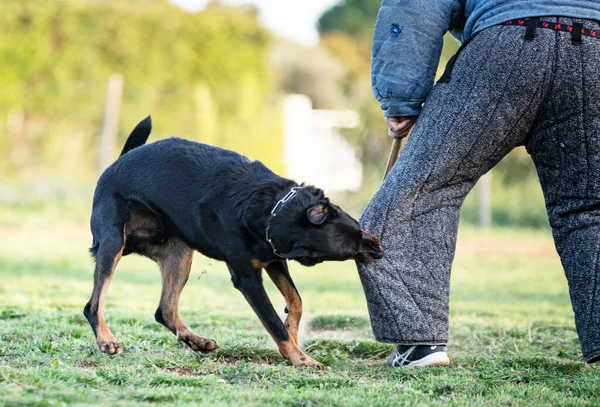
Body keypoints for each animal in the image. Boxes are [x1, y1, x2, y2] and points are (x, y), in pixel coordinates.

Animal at [83, 117, 384, 370]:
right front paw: (301, 358)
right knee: (93, 305)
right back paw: (106, 340)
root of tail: (120, 160)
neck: (273, 210)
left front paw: (293, 329)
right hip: (113, 243)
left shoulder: (274, 259)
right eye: (354, 236)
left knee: (165, 310)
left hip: (179, 254)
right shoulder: (247, 277)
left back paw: (196, 341)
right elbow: (273, 323)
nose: (378, 248)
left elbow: (295, 301)